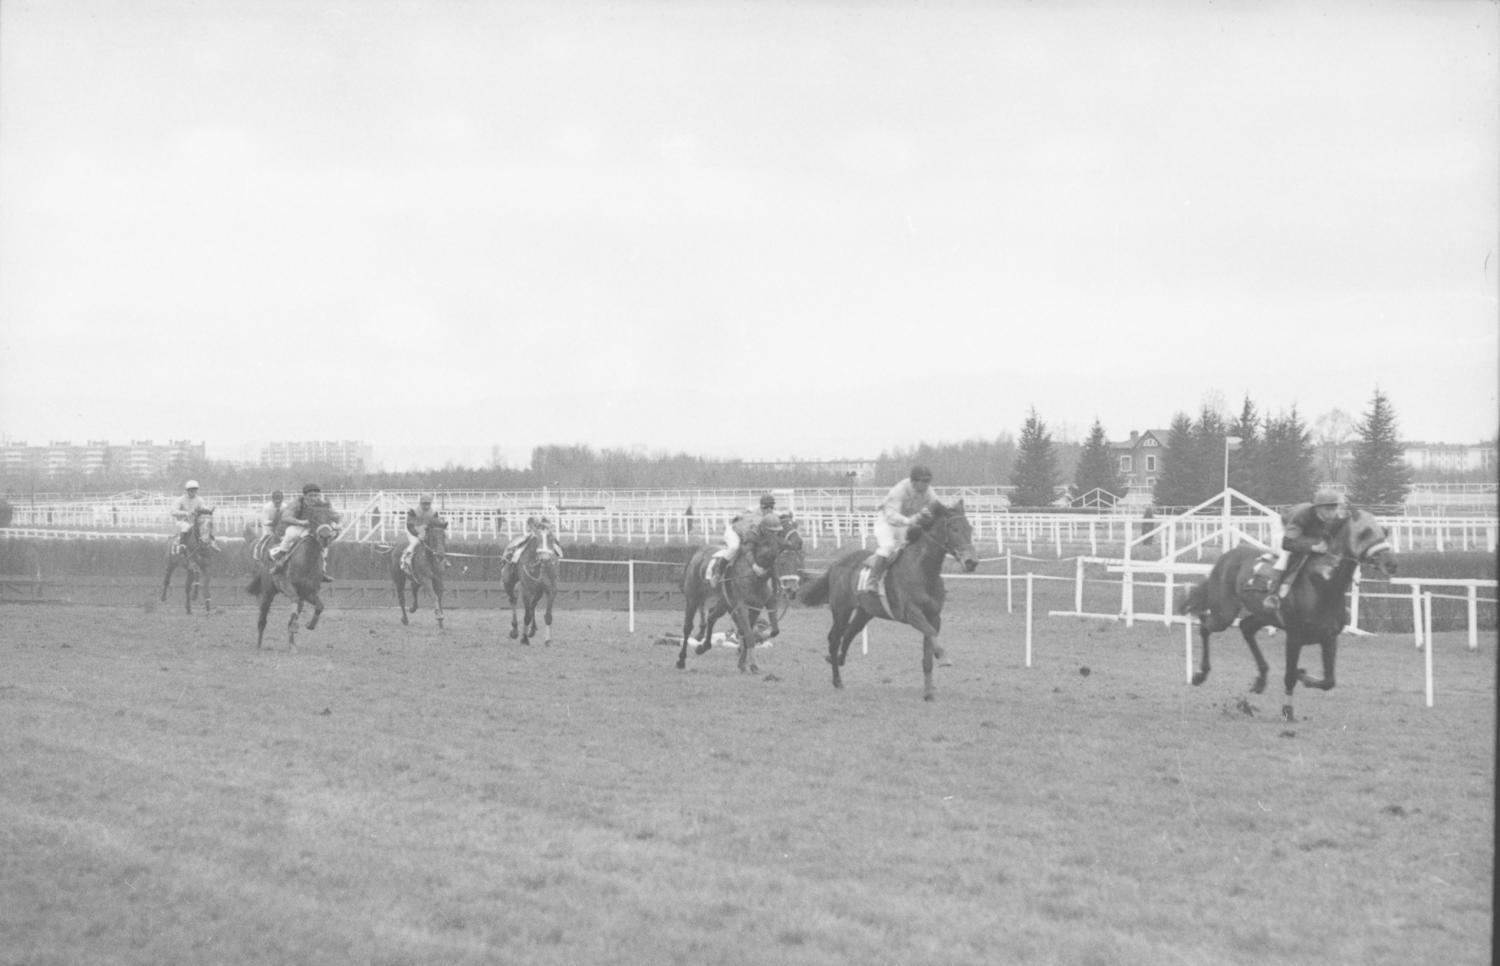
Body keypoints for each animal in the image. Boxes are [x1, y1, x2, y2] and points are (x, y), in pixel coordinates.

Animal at [246, 507, 340, 648]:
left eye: (329, 517)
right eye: (315, 517)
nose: (324, 536)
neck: (306, 562)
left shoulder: (309, 592)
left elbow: (320, 606)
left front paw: (310, 625)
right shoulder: (286, 586)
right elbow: (294, 603)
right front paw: (296, 626)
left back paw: (292, 645)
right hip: (268, 592)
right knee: (262, 619)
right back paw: (258, 645)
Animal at [804, 498, 978, 702]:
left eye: (970, 528)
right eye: (954, 529)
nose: (971, 562)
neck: (923, 572)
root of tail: (836, 563)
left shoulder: (934, 616)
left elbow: (928, 650)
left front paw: (928, 693)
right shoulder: (912, 613)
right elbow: (930, 633)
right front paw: (943, 657)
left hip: (865, 612)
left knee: (849, 633)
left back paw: (838, 659)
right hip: (841, 608)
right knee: (834, 638)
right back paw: (837, 680)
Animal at [1176, 510, 1398, 720]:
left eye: (1384, 531)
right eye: (1364, 533)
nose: (1391, 563)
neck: (1323, 585)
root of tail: (1226, 556)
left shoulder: (1329, 638)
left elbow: (1329, 681)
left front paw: (1303, 676)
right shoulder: (1294, 637)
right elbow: (1289, 676)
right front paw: (1287, 710)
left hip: (1263, 614)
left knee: (1246, 627)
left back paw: (1261, 679)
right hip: (1224, 613)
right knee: (1205, 625)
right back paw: (1200, 674)